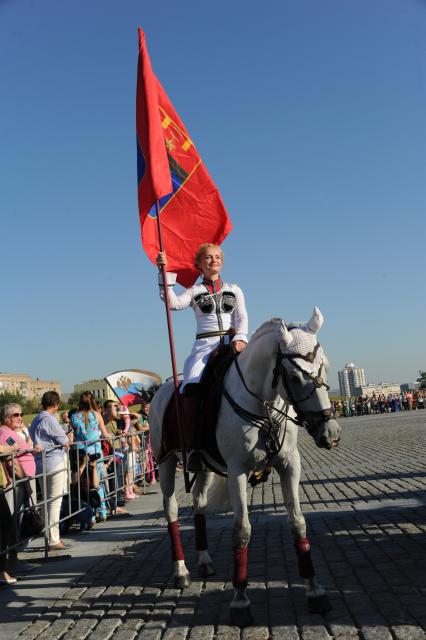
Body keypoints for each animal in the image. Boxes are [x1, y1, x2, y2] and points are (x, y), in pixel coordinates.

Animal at [150, 308, 342, 628]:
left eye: (324, 366)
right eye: (294, 377)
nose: (331, 433)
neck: (262, 404)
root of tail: (161, 389)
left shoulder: (290, 465)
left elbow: (298, 523)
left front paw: (315, 591)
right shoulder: (237, 471)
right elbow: (241, 530)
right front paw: (240, 601)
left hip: (203, 466)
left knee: (199, 504)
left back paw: (204, 561)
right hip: (165, 462)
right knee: (172, 510)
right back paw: (181, 570)